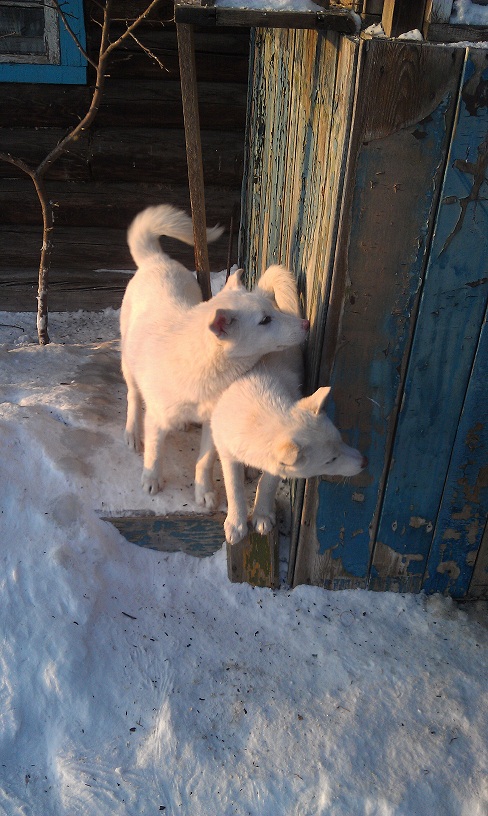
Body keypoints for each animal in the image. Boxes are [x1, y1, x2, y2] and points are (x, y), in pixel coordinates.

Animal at [120, 205, 310, 505]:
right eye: (265, 320)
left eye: (273, 310)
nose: (306, 324)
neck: (199, 373)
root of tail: (155, 260)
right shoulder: (157, 419)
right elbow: (155, 452)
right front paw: (151, 479)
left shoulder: (212, 424)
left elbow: (204, 461)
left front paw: (204, 491)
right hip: (128, 364)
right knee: (133, 397)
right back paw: (132, 433)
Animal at [210, 265, 367, 544]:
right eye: (330, 460)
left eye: (341, 441)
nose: (364, 462)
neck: (257, 417)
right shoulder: (226, 452)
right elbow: (234, 489)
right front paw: (236, 523)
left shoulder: (276, 465)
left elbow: (267, 484)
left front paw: (262, 515)